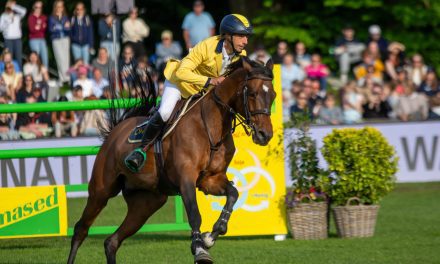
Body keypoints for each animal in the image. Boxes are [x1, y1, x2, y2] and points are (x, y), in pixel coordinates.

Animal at [66, 56, 276, 264]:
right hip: (101, 191)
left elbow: (233, 194)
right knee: (81, 229)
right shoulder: (186, 179)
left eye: (273, 95)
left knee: (112, 241)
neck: (211, 128)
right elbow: (194, 214)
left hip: (146, 202)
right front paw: (200, 250)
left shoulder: (211, 180)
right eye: (253, 94)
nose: (265, 135)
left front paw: (211, 236)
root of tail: (116, 131)